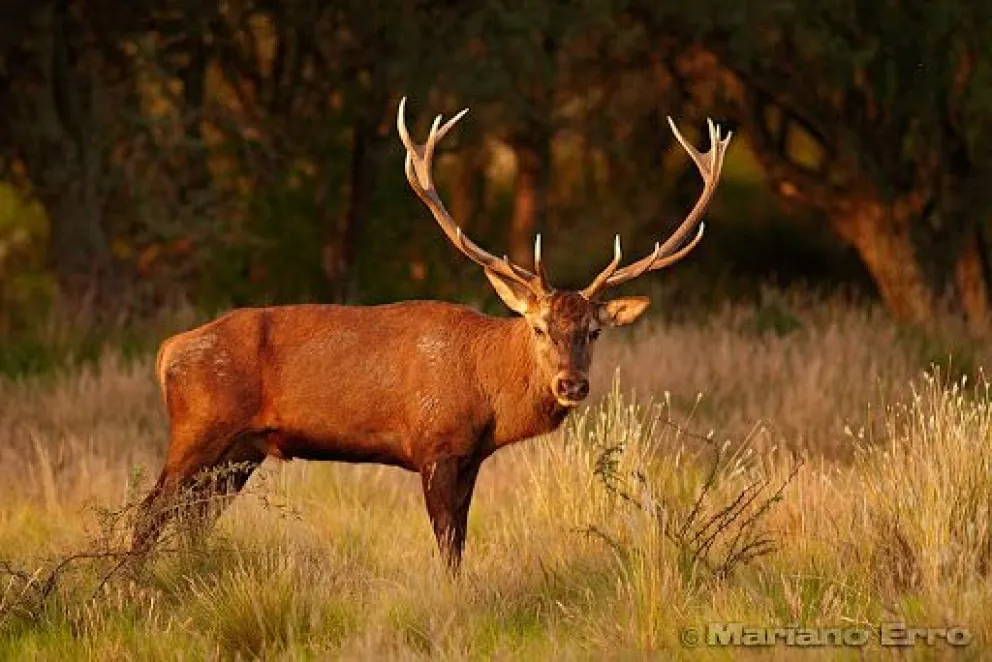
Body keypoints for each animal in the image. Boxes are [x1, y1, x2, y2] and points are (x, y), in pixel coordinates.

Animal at [131, 97, 732, 572]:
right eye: (539, 326)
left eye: (594, 331)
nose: (572, 385)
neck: (488, 393)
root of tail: (166, 351)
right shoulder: (434, 445)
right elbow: (445, 544)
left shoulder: (471, 457)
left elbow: (460, 543)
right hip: (199, 429)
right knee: (150, 512)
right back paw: (131, 588)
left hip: (241, 451)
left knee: (193, 519)